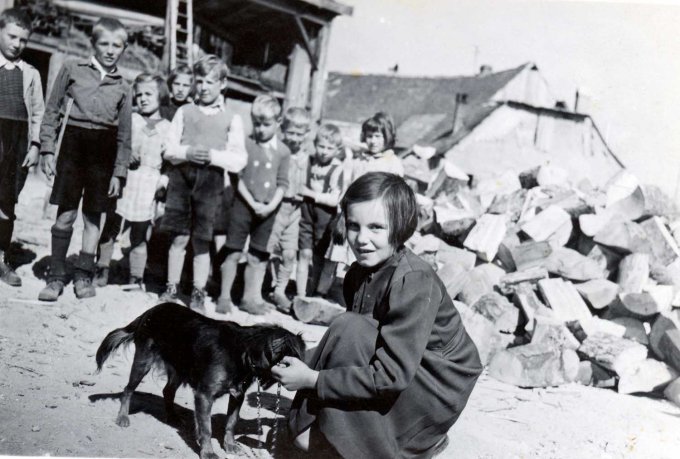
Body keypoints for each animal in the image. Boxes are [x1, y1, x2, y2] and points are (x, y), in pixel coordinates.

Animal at [96, 304, 306, 458]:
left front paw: (229, 445)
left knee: (167, 391)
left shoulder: (237, 395)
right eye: (292, 359)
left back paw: (172, 416)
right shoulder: (205, 395)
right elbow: (206, 428)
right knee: (128, 389)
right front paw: (208, 452)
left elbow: (231, 422)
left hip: (179, 368)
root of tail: (150, 311)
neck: (241, 351)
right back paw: (123, 417)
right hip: (143, 362)